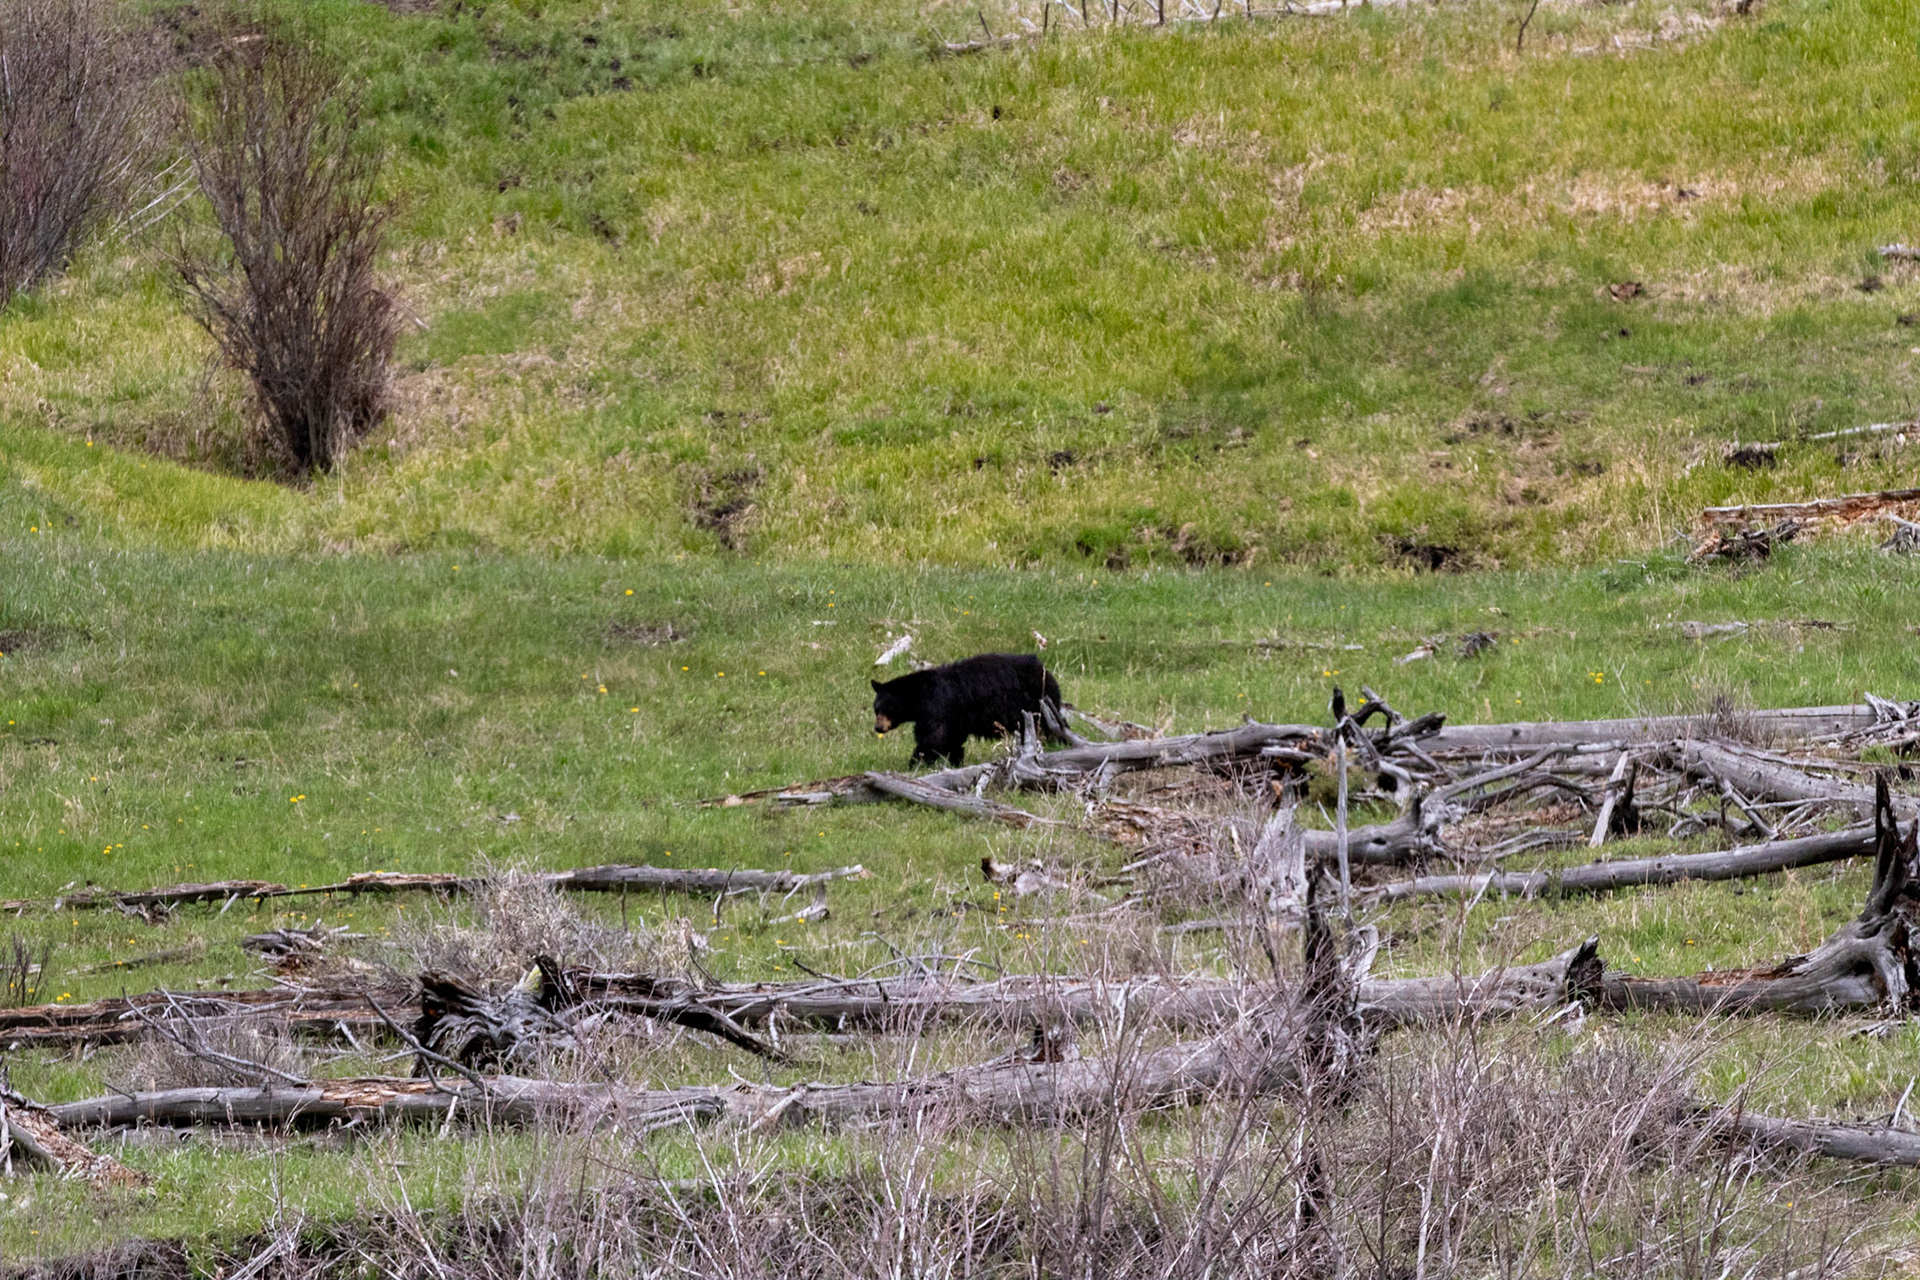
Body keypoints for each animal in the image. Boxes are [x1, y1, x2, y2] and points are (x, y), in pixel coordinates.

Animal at [871, 653, 1063, 768]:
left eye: (885, 709)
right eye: (876, 709)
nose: (878, 728)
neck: (920, 697)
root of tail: (1044, 669)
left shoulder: (937, 707)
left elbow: (933, 738)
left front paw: (915, 763)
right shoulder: (953, 718)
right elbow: (952, 739)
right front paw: (956, 761)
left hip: (1036, 702)